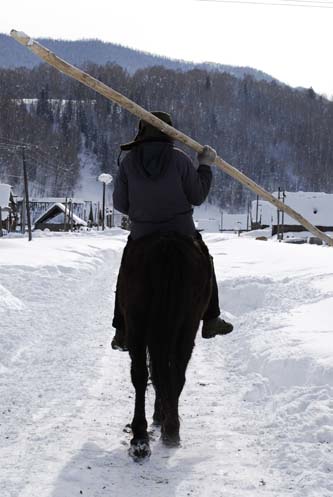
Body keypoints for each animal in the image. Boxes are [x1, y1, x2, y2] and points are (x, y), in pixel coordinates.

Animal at [117, 232, 210, 462]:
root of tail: (167, 245)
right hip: (188, 323)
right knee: (176, 372)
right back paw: (171, 430)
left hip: (137, 323)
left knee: (141, 375)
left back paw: (141, 437)